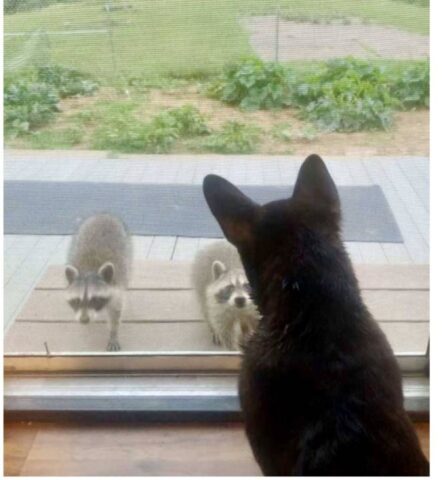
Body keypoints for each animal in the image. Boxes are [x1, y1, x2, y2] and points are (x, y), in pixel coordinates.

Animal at [64, 214, 132, 352]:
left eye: (95, 299)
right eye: (77, 300)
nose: (84, 320)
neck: (88, 270)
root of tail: (104, 215)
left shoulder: (117, 287)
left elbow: (116, 312)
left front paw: (113, 333)